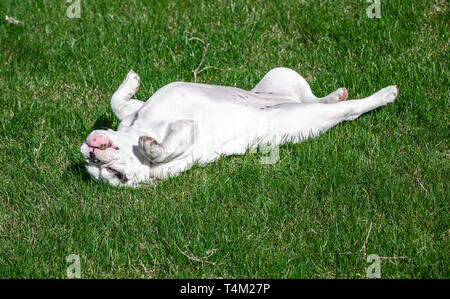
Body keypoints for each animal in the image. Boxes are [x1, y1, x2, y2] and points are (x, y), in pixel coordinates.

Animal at [81, 67, 398, 188]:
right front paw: (151, 147)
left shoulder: (133, 112)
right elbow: (167, 146)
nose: (92, 156)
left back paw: (337, 94)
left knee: (313, 96)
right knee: (349, 111)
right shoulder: (184, 139)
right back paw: (382, 95)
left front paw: (130, 83)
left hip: (282, 75)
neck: (138, 130)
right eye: (117, 176)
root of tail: (289, 102)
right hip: (311, 117)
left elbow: (117, 102)